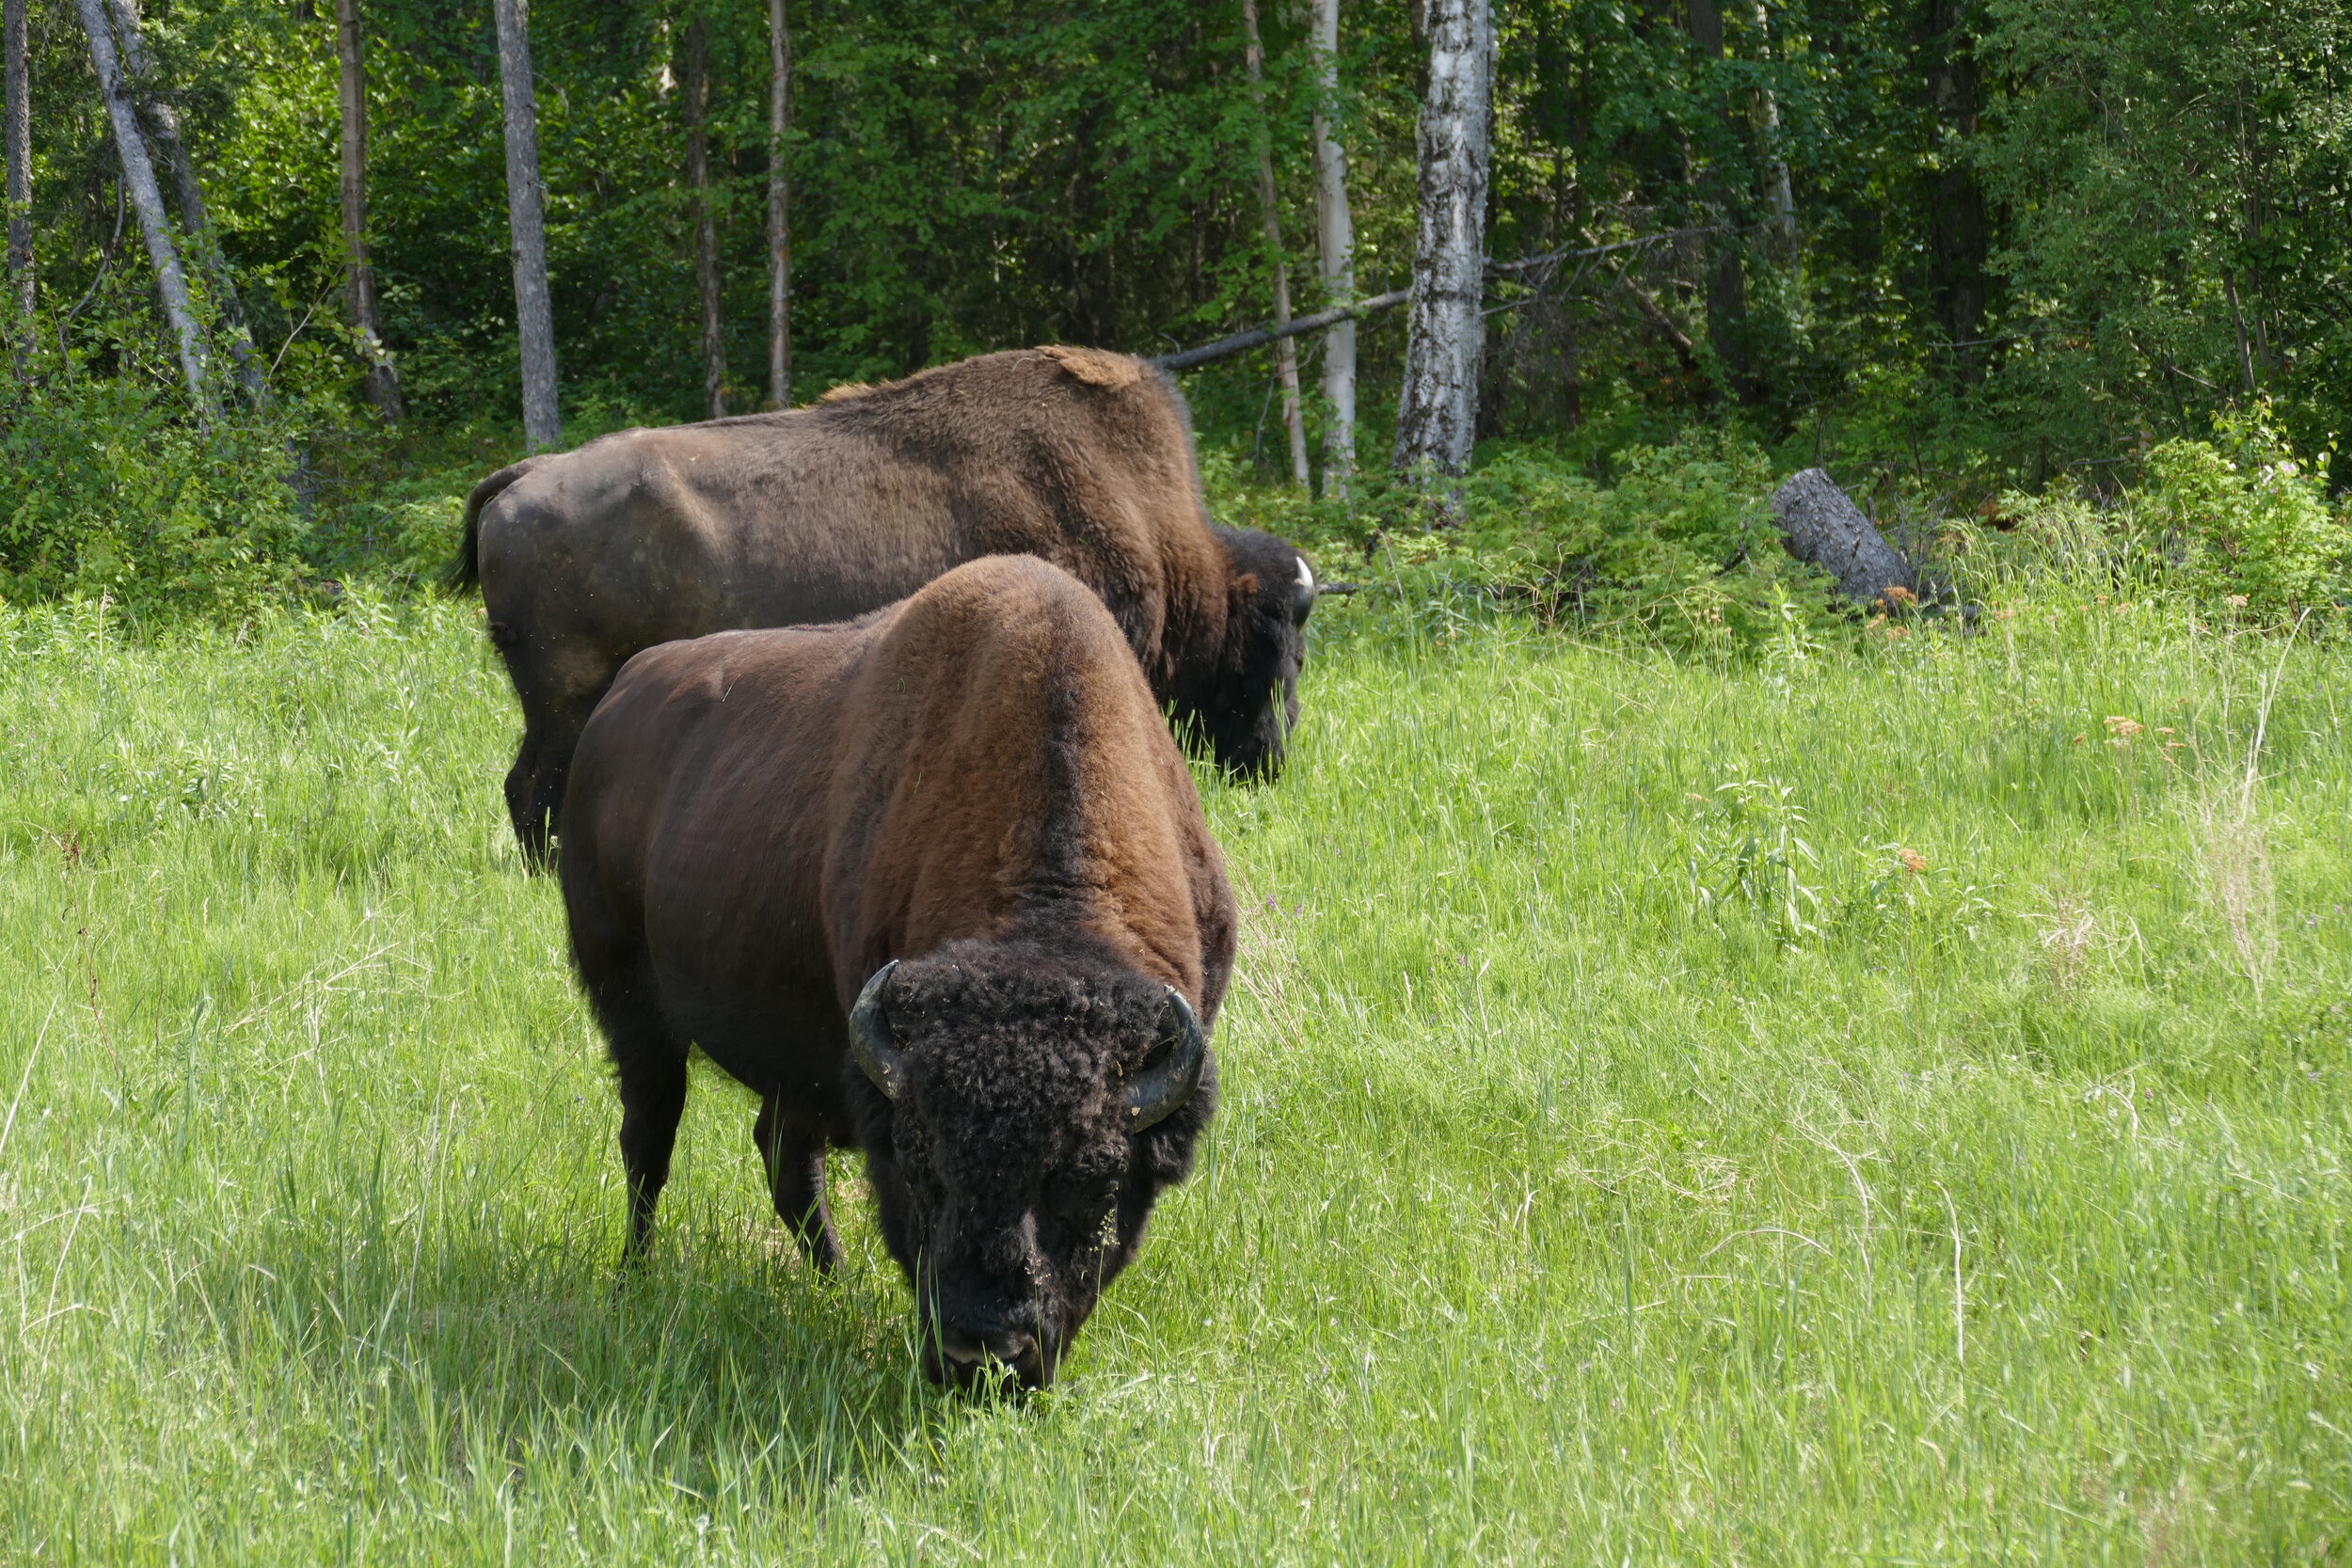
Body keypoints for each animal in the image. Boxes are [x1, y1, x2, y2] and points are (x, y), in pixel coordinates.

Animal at [452, 341, 1336, 869]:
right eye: (1280, 647)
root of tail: (525, 477)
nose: (1275, 757)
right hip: (564, 700)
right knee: (531, 786)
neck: (1153, 531)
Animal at [562, 557, 1242, 1391]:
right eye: (921, 1169)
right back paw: (636, 1278)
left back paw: (835, 1289)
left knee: (783, 1158)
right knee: (649, 1138)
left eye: (1096, 1181)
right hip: (628, 998)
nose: (983, 1354)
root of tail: (614, 703)